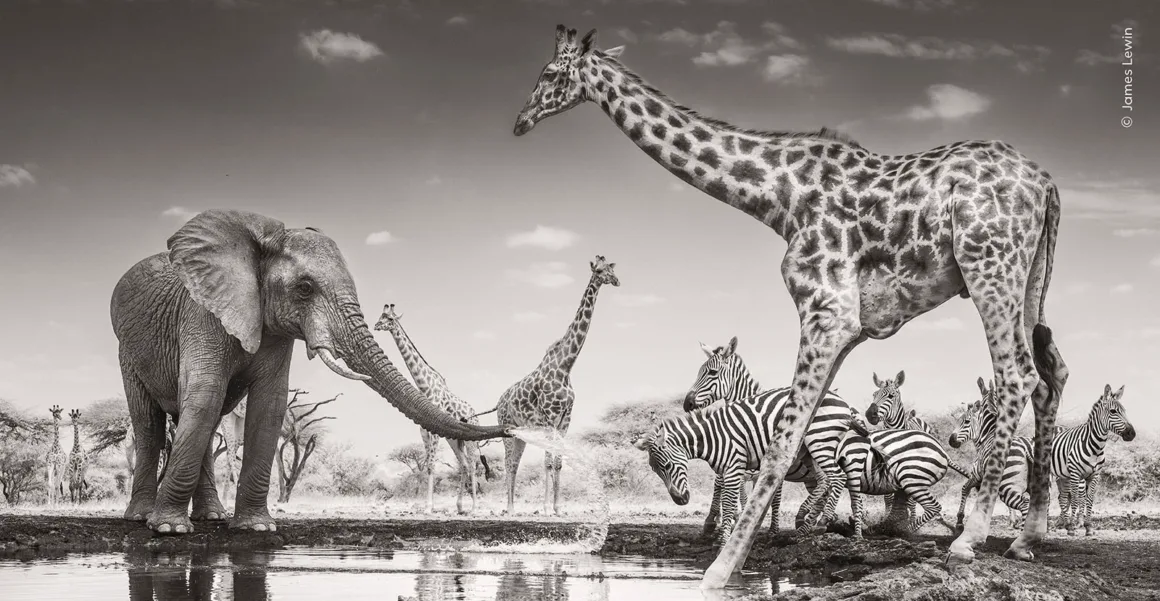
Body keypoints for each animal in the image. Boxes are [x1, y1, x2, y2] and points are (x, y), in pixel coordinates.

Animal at [635, 386, 850, 545]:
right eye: (655, 470)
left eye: (667, 465)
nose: (680, 501)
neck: (713, 437)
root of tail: (841, 399)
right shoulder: (729, 470)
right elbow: (730, 499)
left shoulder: (734, 467)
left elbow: (730, 503)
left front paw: (723, 541)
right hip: (808, 450)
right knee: (825, 480)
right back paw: (806, 522)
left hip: (820, 440)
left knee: (839, 477)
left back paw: (822, 521)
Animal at [836, 417, 969, 538]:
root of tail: (942, 451)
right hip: (905, 478)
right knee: (900, 509)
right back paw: (881, 528)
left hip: (912, 478)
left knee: (932, 507)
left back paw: (903, 531)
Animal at [948, 377, 1034, 531]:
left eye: (966, 421)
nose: (951, 441)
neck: (989, 433)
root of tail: (1026, 447)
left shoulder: (977, 475)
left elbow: (965, 489)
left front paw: (960, 522)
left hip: (1007, 486)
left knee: (1024, 504)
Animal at [1051, 384, 1135, 536]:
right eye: (1113, 411)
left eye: (1125, 411)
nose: (1132, 433)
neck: (1096, 447)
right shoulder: (1076, 474)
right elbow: (1077, 499)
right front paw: (1074, 526)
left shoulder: (1095, 475)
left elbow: (1089, 499)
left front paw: (1088, 527)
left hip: (1062, 476)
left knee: (1063, 497)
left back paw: (1064, 524)